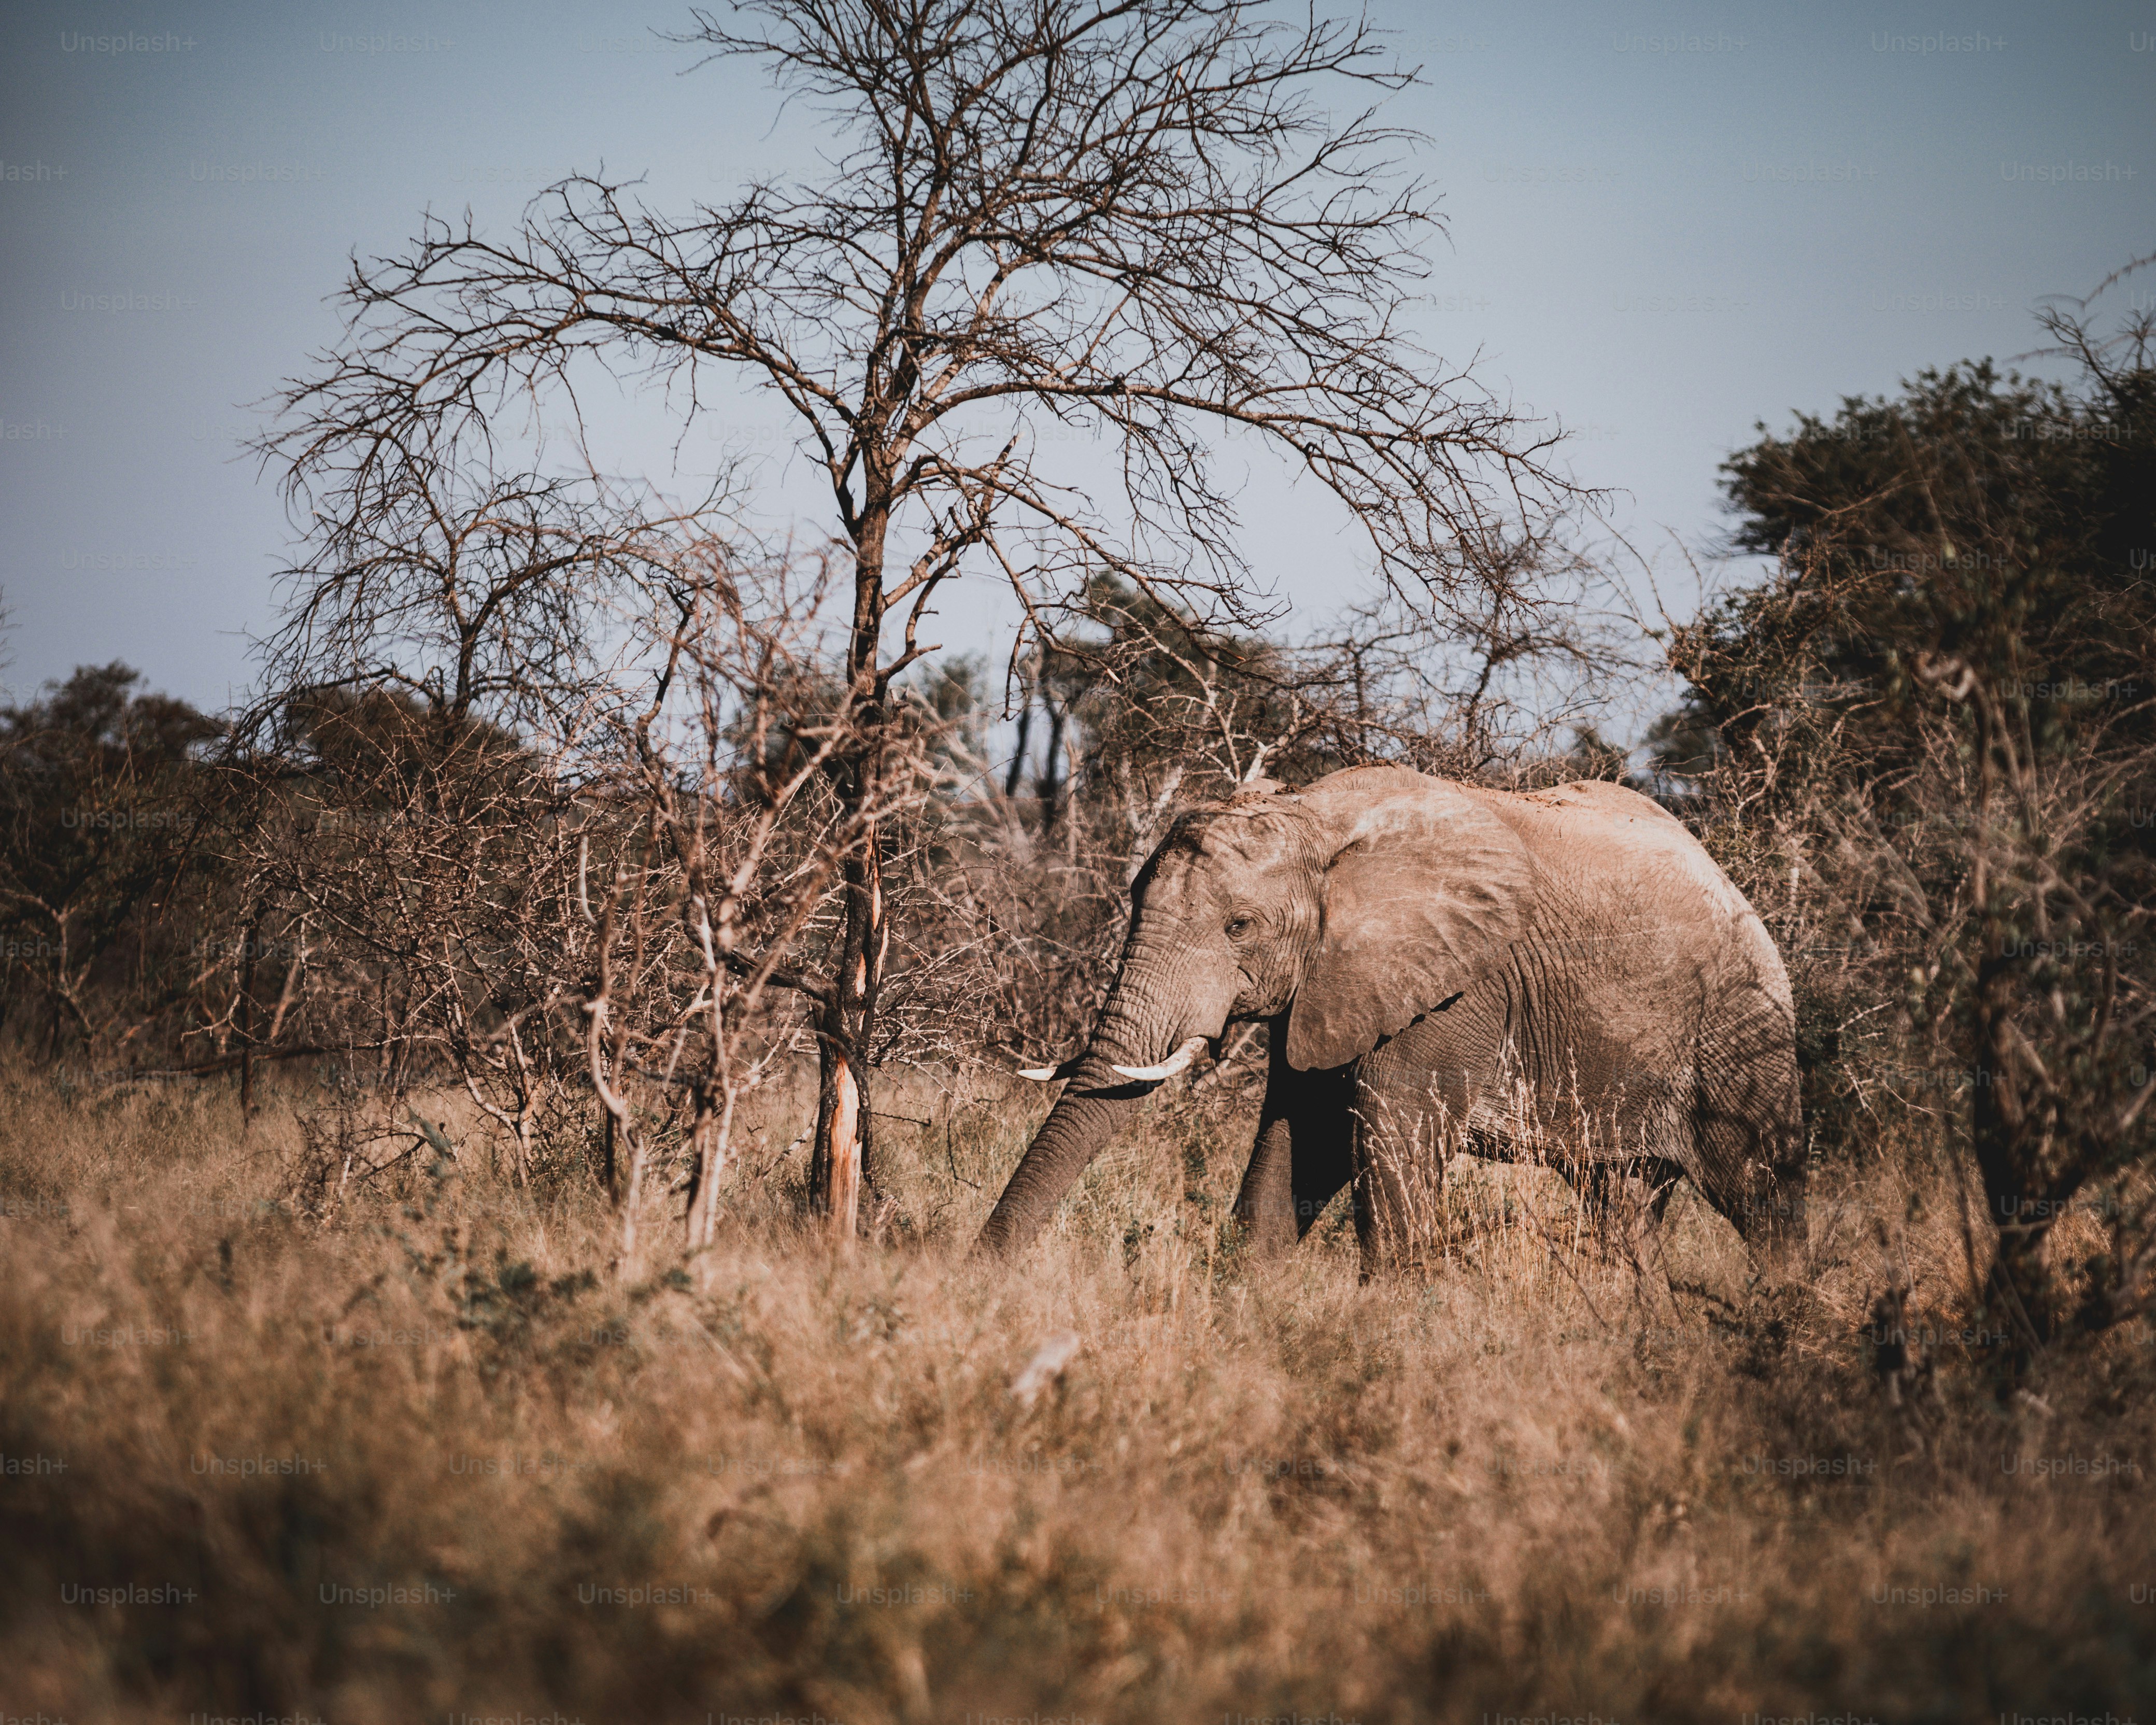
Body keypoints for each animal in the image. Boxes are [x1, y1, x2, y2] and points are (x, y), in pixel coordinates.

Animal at [972, 763, 1807, 1276]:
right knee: (1624, 1214)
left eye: (1239, 927)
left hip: (1742, 1033)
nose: (978, 1271)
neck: (1317, 818)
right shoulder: (1332, 986)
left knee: (1764, 1198)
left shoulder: (1457, 990)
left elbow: (1388, 1163)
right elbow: (1294, 1151)